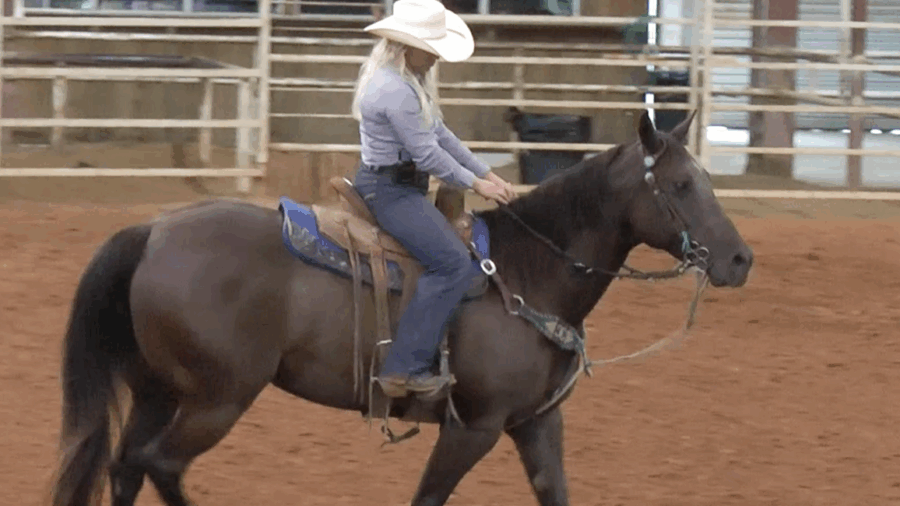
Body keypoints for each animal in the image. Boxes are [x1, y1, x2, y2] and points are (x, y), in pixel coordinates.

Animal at [49, 110, 753, 506]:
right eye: (681, 184)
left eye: (708, 179)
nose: (740, 260)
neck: (529, 274)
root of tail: (152, 230)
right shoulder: (474, 426)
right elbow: (429, 496)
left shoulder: (535, 423)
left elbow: (554, 494)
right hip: (218, 397)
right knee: (159, 466)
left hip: (158, 391)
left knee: (126, 468)